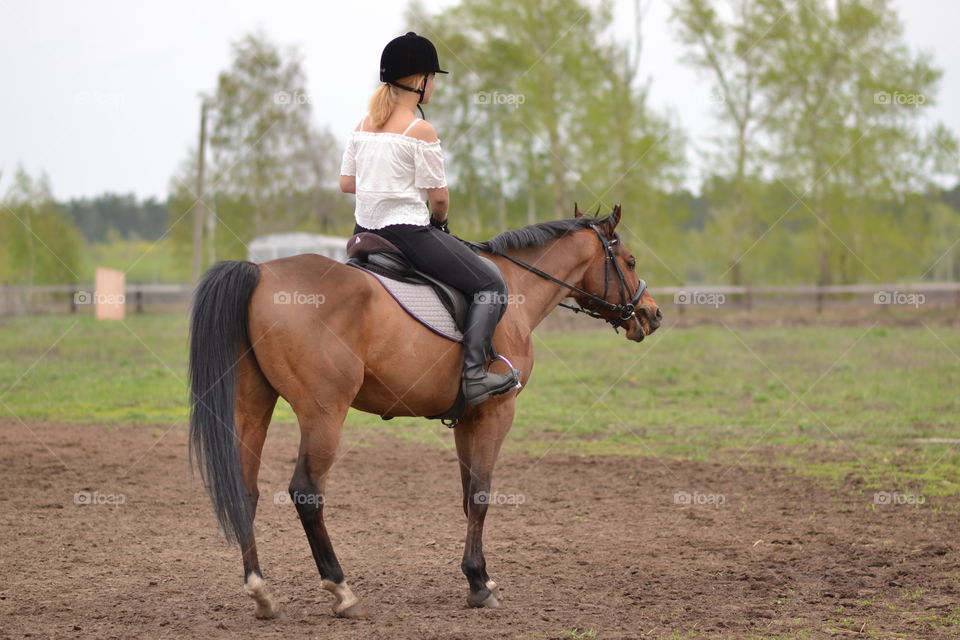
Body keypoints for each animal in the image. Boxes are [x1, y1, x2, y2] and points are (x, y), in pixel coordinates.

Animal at [188, 203, 662, 619]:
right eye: (631, 261)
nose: (652, 314)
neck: (516, 286)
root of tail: (261, 272)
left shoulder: (467, 418)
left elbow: (468, 497)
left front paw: (478, 577)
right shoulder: (497, 412)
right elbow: (481, 495)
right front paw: (479, 585)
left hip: (253, 406)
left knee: (245, 490)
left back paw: (261, 592)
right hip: (323, 413)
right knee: (306, 492)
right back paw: (341, 590)